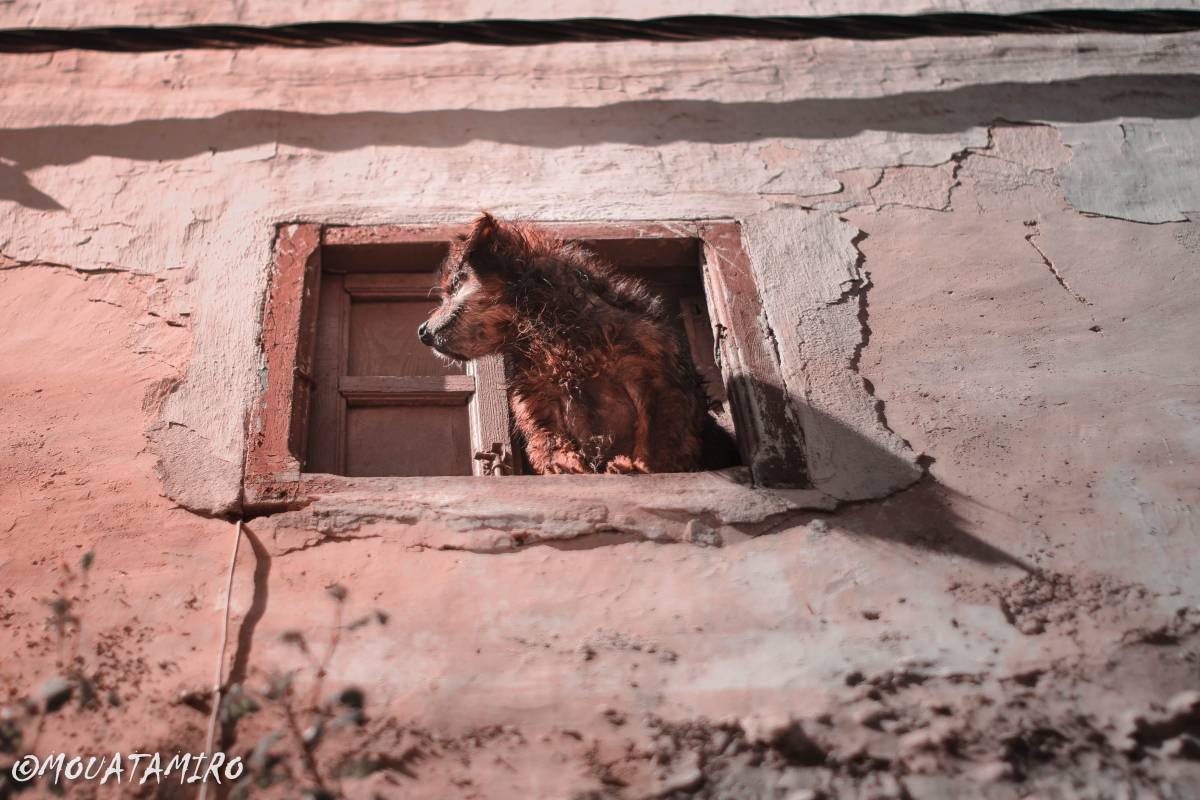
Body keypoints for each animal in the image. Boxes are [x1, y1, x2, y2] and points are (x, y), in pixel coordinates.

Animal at [417, 214, 734, 474]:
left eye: (456, 283)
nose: (421, 331)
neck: (554, 336)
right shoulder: (538, 404)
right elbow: (551, 442)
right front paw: (564, 467)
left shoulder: (657, 383)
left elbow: (657, 437)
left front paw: (637, 466)